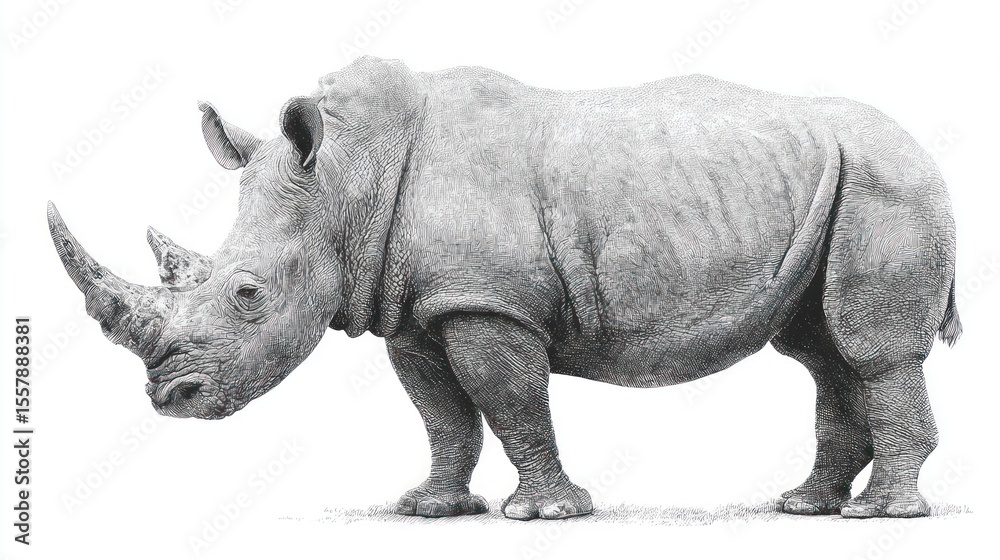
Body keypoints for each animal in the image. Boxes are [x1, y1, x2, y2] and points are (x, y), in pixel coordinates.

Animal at [48, 56, 961, 521]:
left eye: (247, 294)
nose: (172, 399)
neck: (345, 179)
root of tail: (924, 149)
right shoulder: (414, 308)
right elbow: (442, 415)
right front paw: (430, 509)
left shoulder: (486, 302)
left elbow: (510, 400)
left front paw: (546, 515)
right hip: (837, 181)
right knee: (821, 348)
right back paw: (805, 507)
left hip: (889, 181)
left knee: (871, 349)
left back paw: (882, 517)